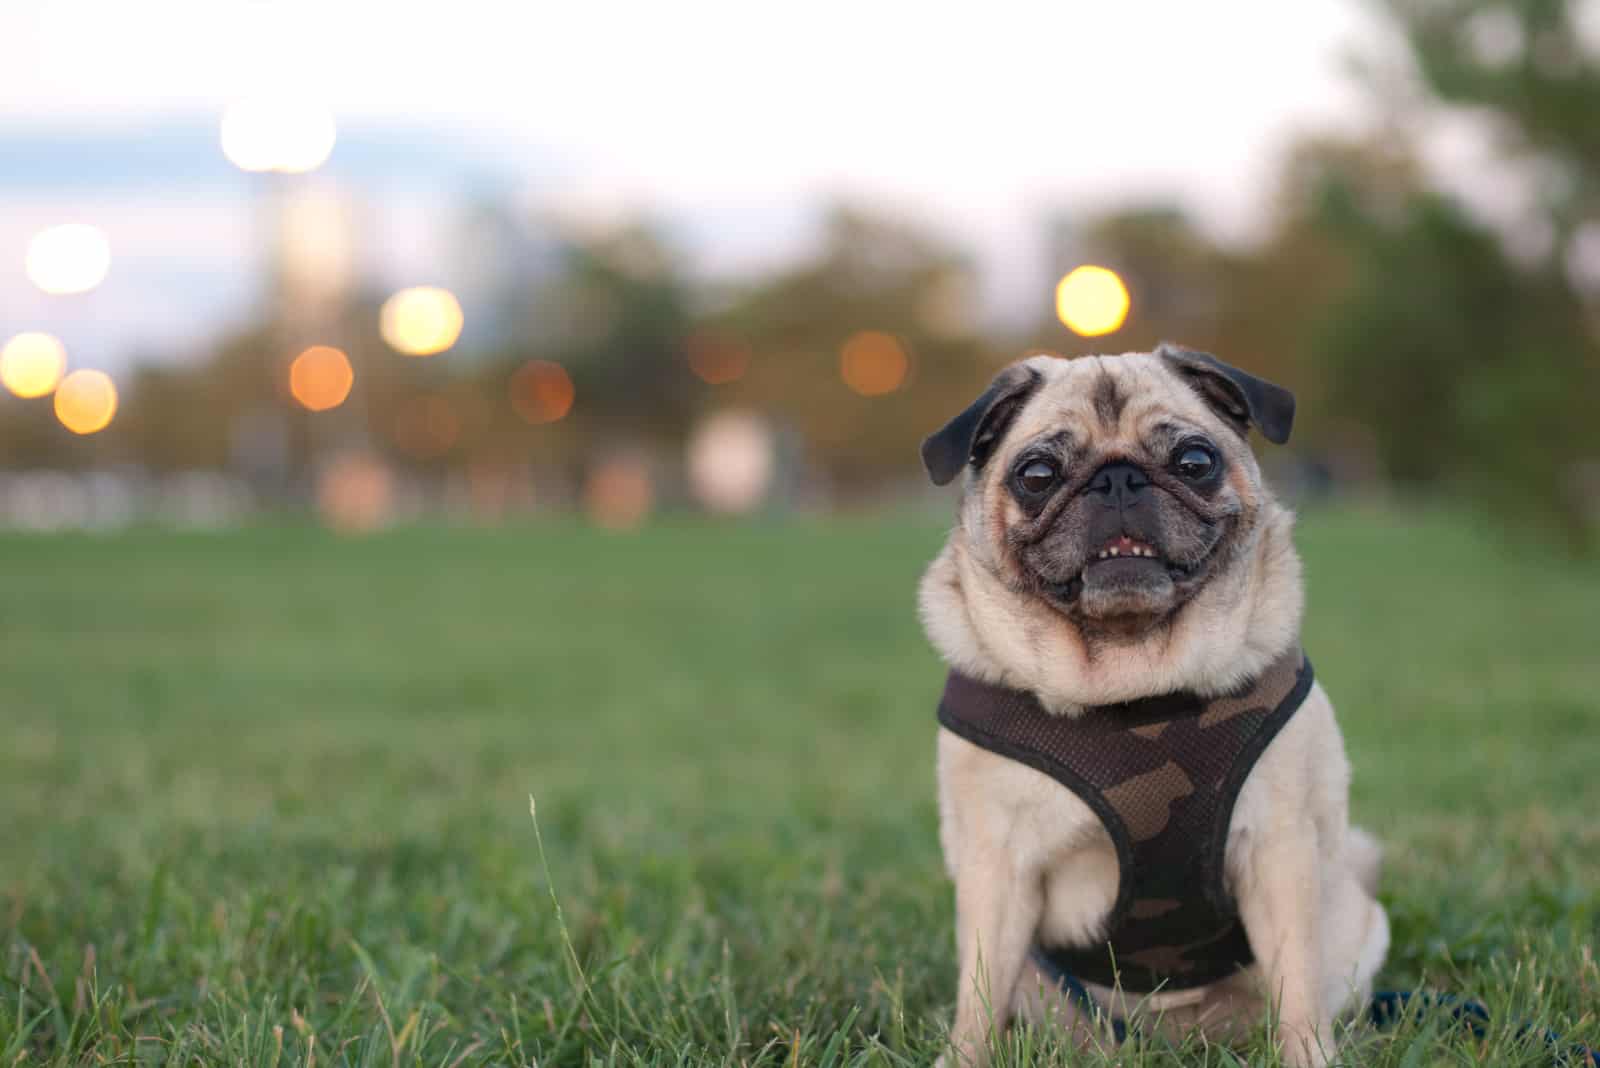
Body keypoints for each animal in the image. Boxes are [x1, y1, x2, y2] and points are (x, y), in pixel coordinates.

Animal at [921, 346, 1395, 1061]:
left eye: (1194, 462)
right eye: (1037, 475)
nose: (1117, 479)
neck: (1131, 679)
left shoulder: (1279, 852)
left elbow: (1298, 988)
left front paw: (1307, 1056)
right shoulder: (996, 868)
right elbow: (978, 996)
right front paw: (966, 1057)